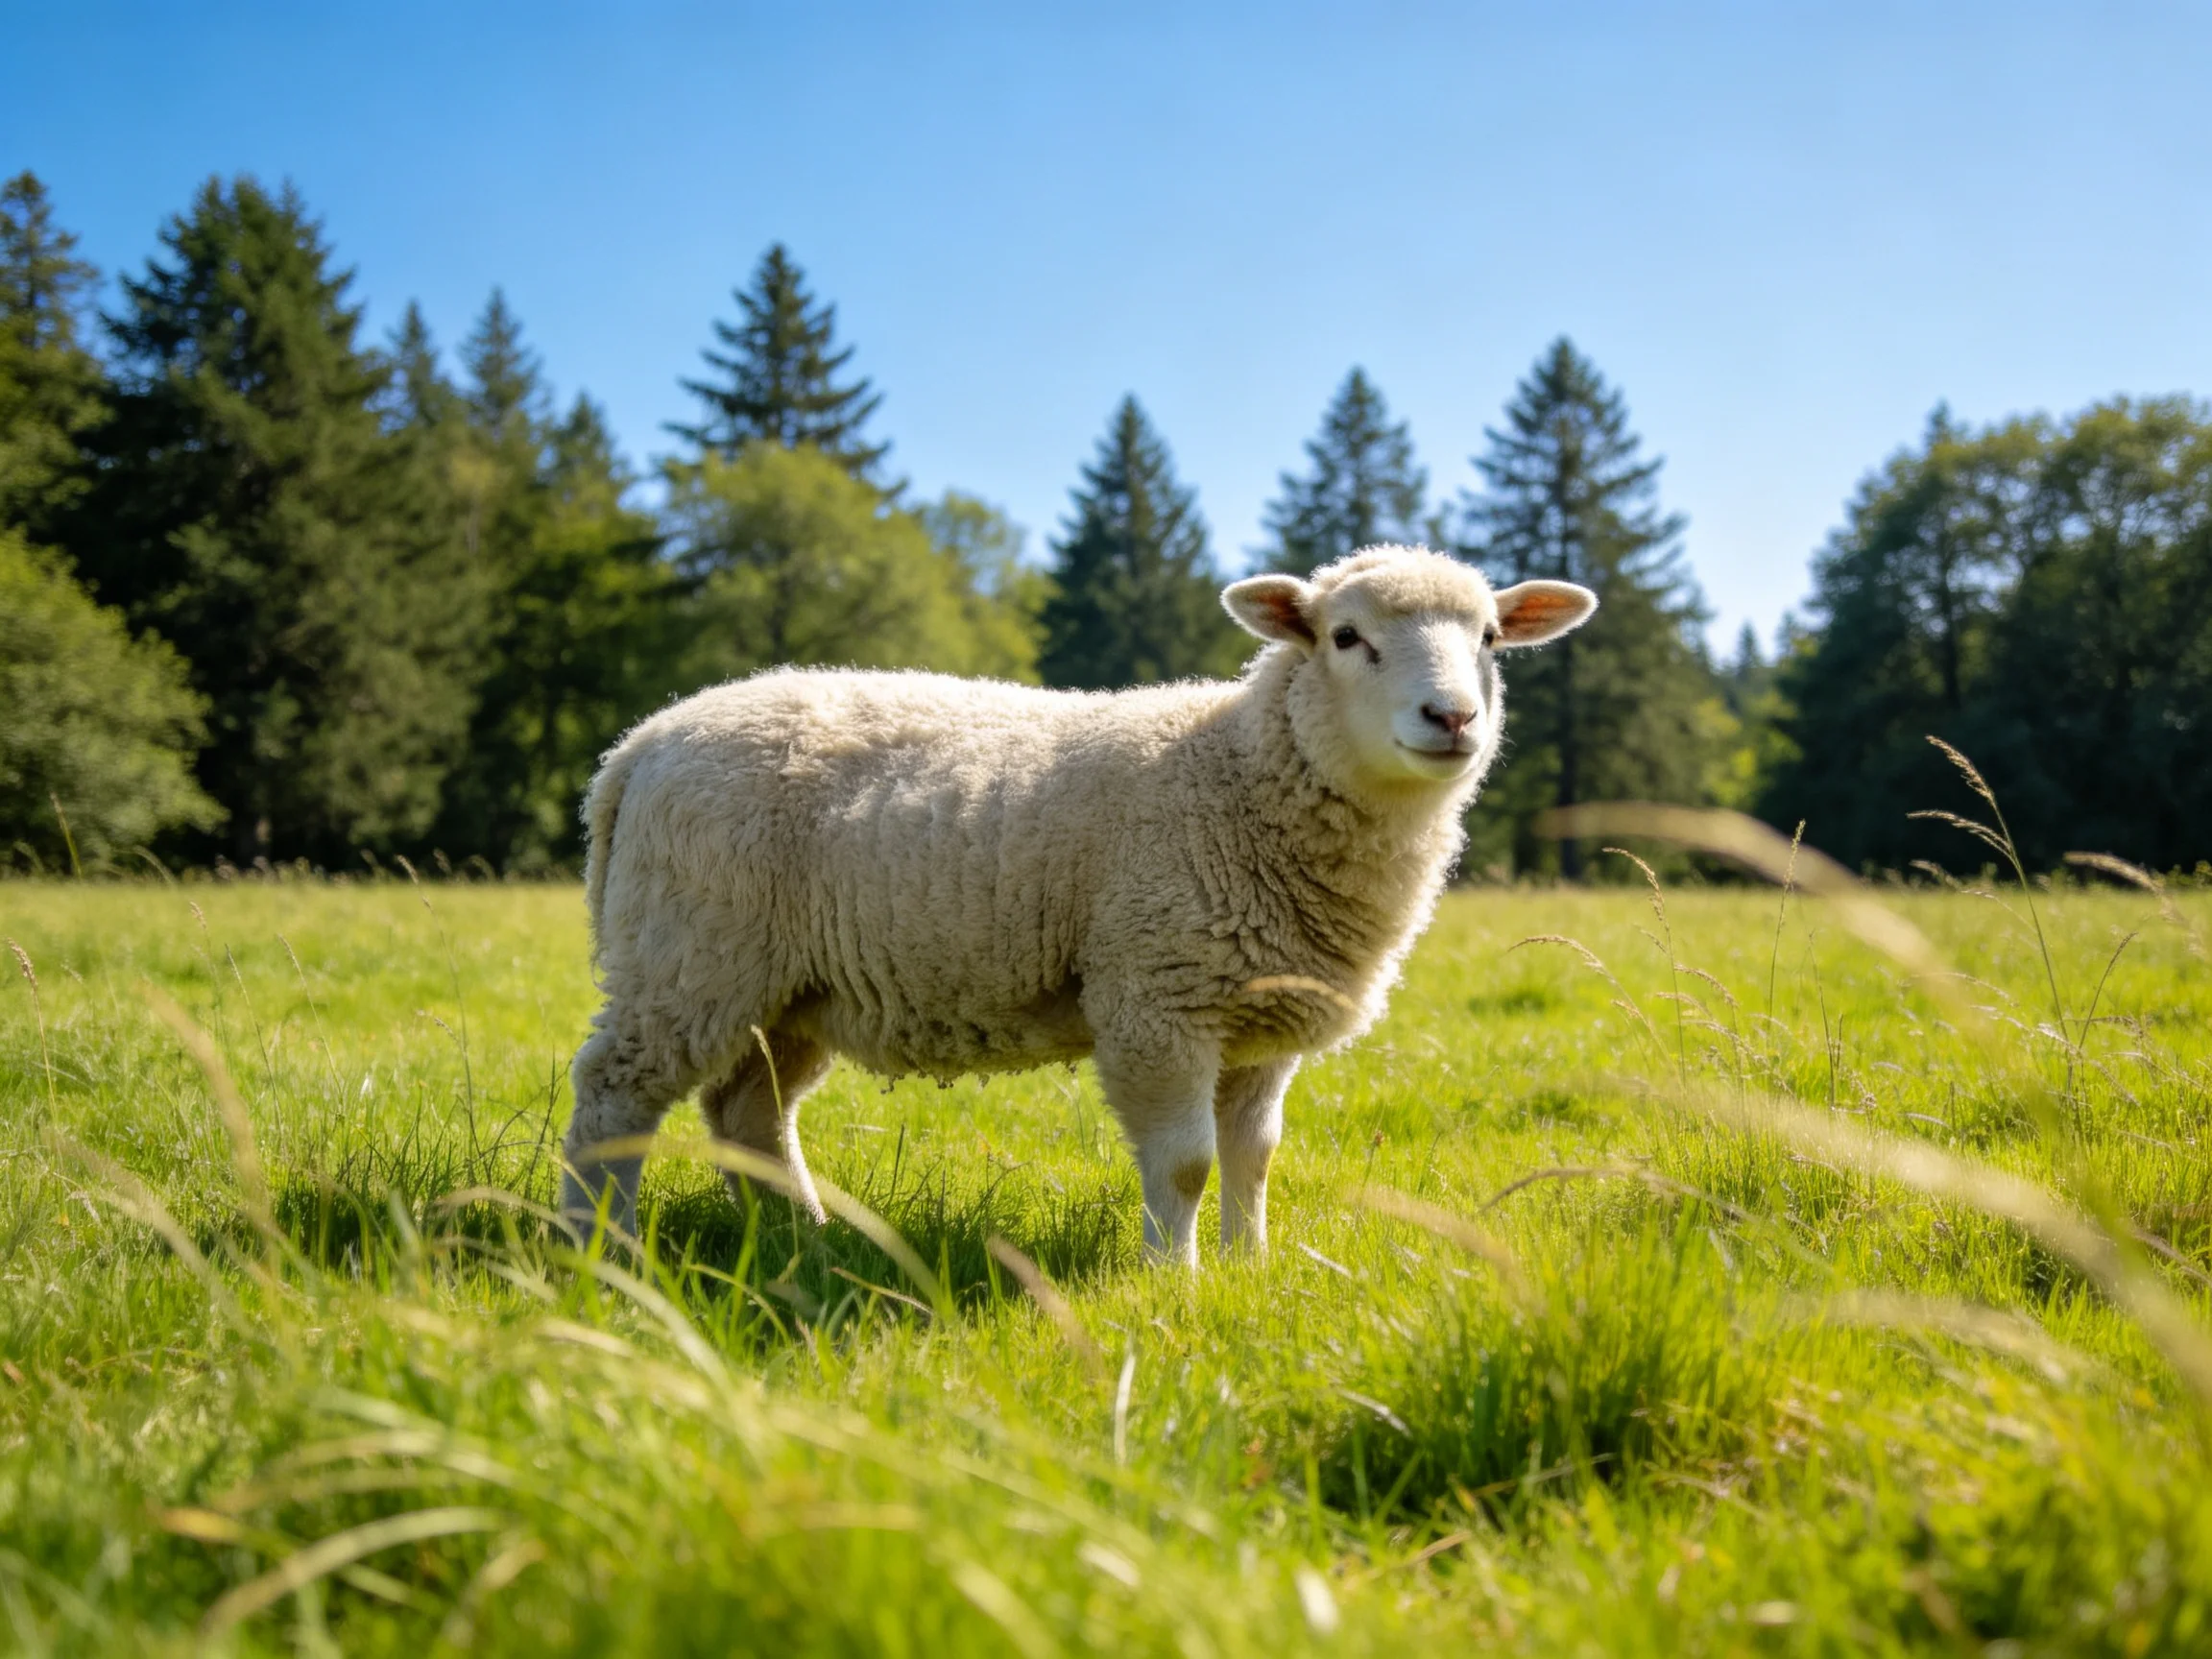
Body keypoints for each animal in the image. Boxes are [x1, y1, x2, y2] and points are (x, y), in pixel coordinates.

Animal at [560, 544, 1595, 1266]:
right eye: (1346, 637)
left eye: (1490, 640)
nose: (1452, 718)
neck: (1237, 773)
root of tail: (639, 744)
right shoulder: (1156, 996)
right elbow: (1185, 1162)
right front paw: (1171, 1281)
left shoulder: (1262, 1016)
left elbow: (1255, 1154)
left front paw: (1250, 1267)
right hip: (688, 954)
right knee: (614, 1095)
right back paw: (598, 1248)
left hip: (788, 985)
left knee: (750, 1112)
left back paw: (804, 1239)